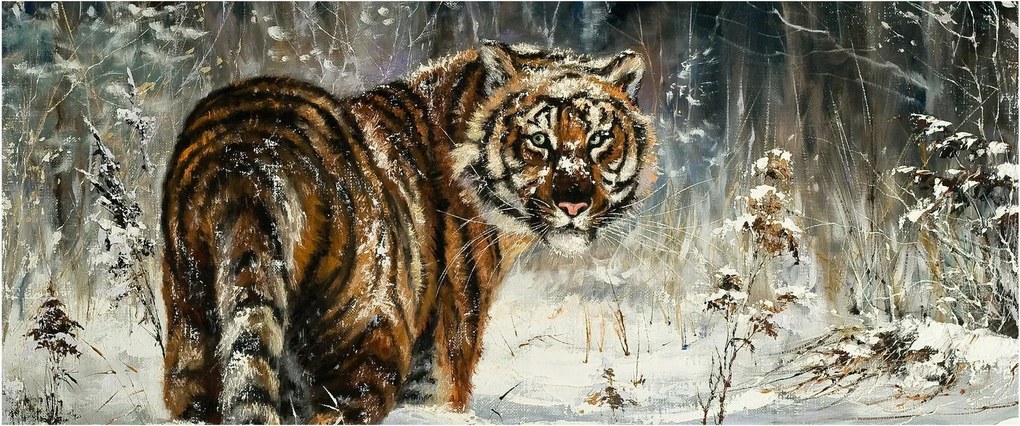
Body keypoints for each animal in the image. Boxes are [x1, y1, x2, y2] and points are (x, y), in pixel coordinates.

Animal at [161, 40, 658, 424]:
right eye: (539, 140)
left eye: (598, 138)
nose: (573, 203)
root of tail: (248, 152)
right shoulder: (442, 355)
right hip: (365, 341)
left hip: (192, 331)